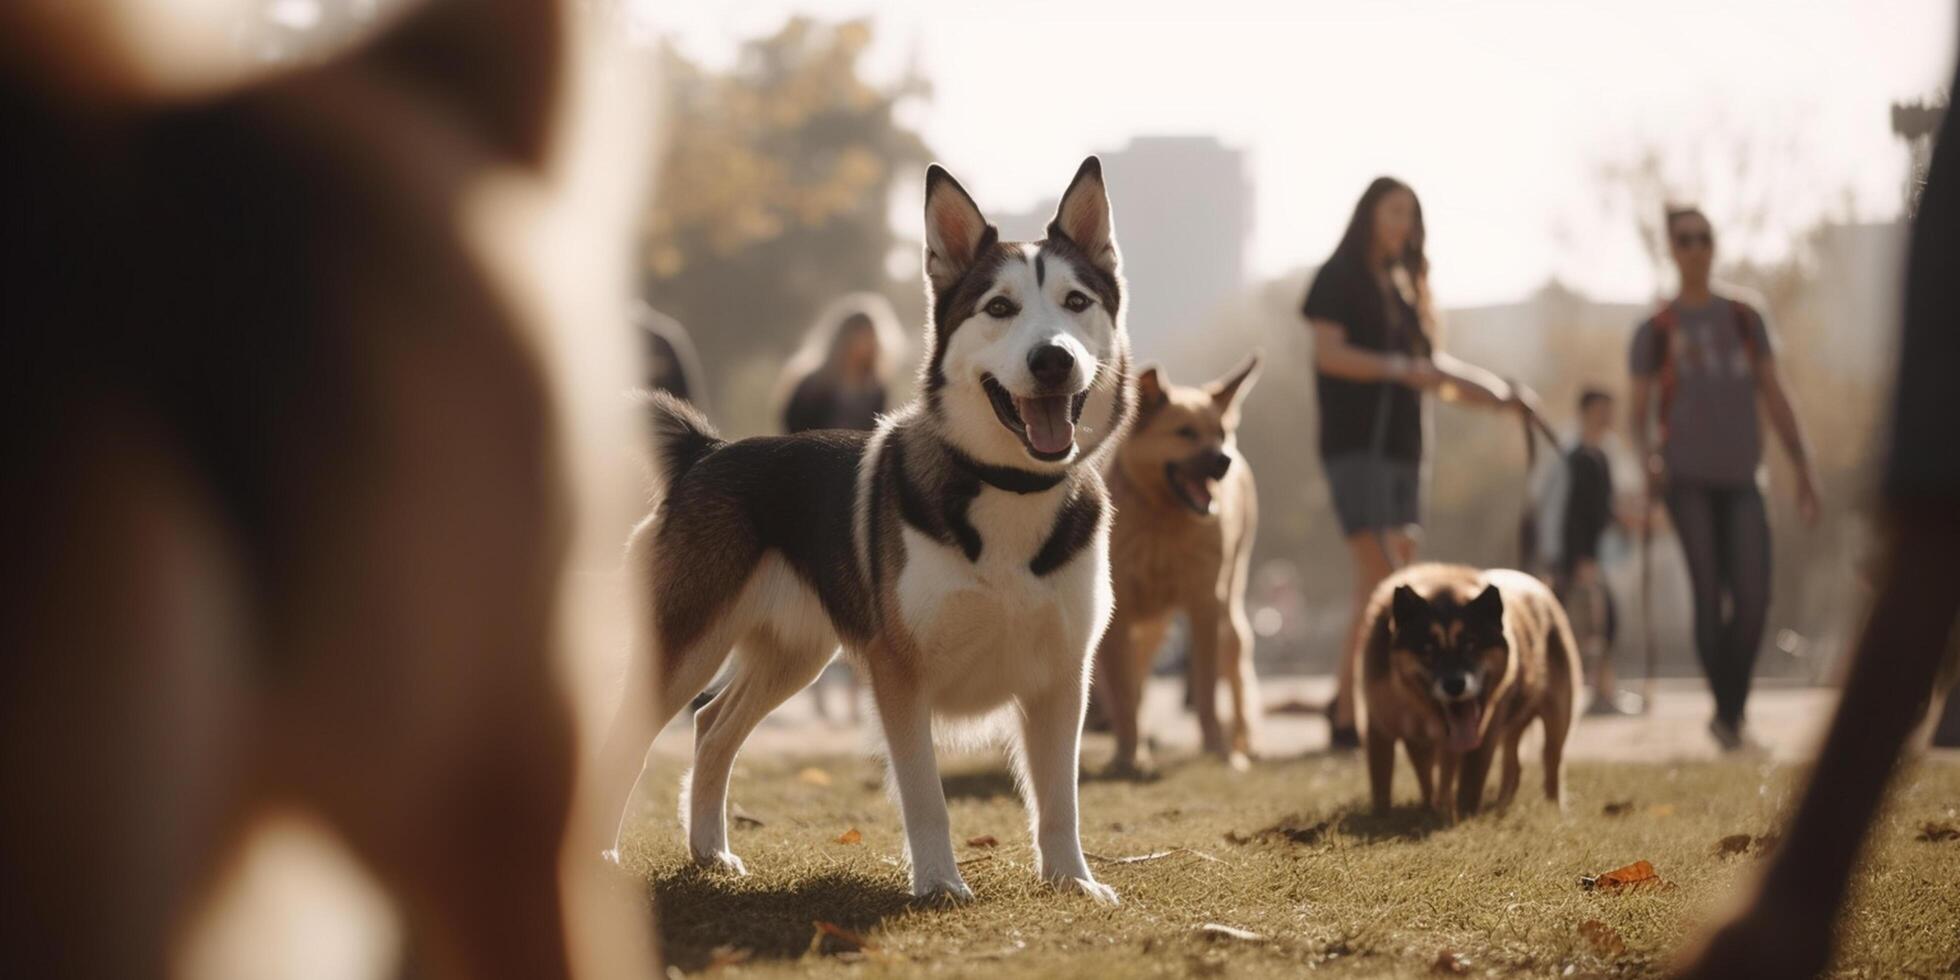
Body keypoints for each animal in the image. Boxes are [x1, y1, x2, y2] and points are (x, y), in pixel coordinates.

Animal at [603, 158, 1144, 901]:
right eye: (999, 309)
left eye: (1076, 302)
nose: (1052, 359)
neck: (1007, 490)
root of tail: (707, 450)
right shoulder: (899, 675)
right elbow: (925, 796)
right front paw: (940, 883)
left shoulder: (1062, 675)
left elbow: (1061, 801)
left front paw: (1072, 880)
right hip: (687, 644)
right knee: (626, 740)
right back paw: (599, 856)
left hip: (795, 654)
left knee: (712, 726)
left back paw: (710, 850)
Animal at [1097, 352, 1262, 772]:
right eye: (1185, 432)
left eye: (1220, 432)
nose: (1223, 461)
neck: (1162, 522)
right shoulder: (1119, 617)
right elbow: (1124, 693)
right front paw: (1130, 756)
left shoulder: (1206, 606)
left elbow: (1205, 689)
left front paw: (1220, 751)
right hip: (1148, 625)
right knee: (1135, 678)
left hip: (1230, 613)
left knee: (1237, 672)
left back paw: (1245, 742)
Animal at [1356, 564, 1583, 823]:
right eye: (1428, 648)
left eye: (1471, 644)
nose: (1455, 685)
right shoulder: (1380, 727)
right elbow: (1384, 783)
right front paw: (1385, 817)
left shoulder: (1485, 730)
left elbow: (1470, 780)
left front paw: (1462, 819)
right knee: (1510, 765)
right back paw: (1496, 806)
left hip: (1558, 714)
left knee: (1552, 759)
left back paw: (1554, 809)